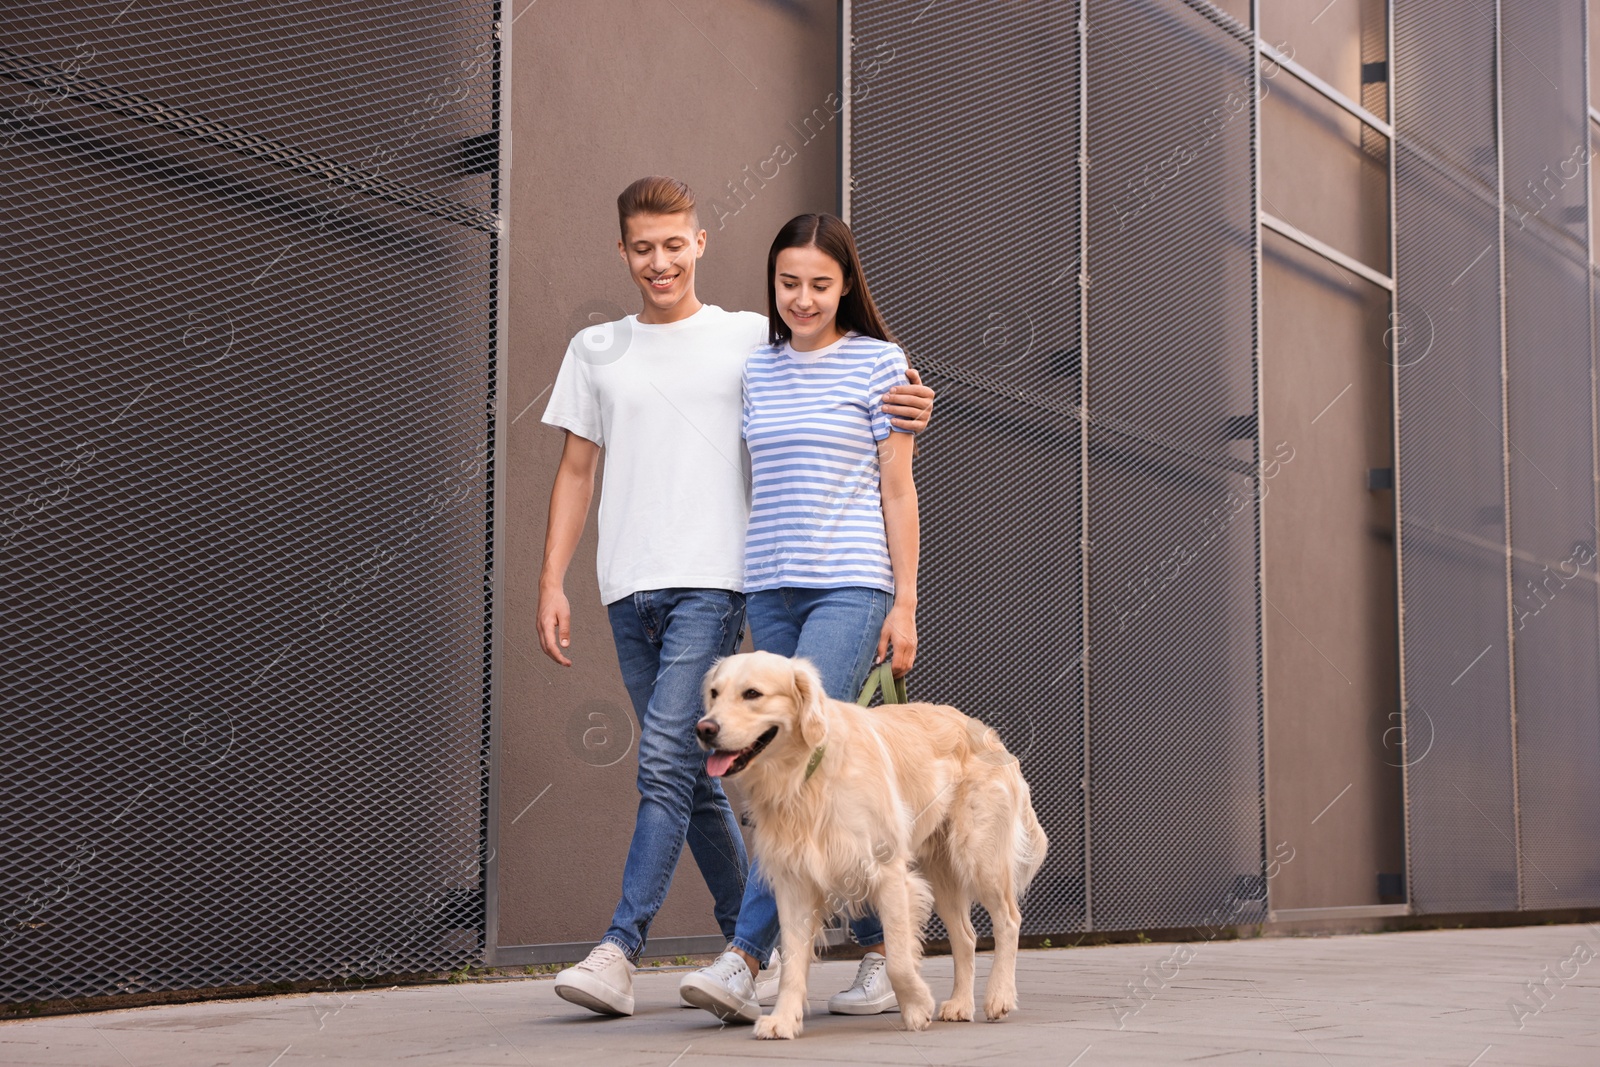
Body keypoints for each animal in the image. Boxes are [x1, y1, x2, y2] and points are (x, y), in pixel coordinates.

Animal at [691, 652, 1043, 1043]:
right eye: (714, 693)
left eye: (752, 693)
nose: (704, 729)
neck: (806, 774)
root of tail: (986, 732)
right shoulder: (794, 883)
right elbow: (793, 962)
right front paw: (783, 1019)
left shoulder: (889, 873)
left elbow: (900, 960)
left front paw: (917, 1006)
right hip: (942, 873)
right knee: (965, 937)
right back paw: (959, 1004)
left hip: (978, 856)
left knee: (1008, 920)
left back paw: (998, 997)